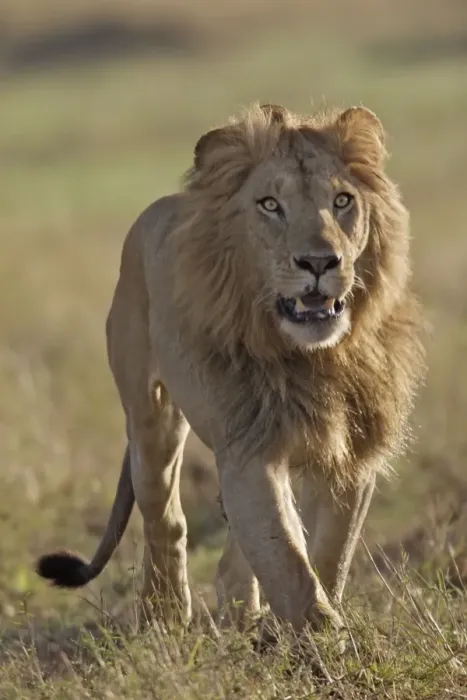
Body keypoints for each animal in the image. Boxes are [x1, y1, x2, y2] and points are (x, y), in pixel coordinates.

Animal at [36, 103, 425, 638]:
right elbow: (287, 559)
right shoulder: (247, 447)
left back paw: (244, 620)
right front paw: (322, 641)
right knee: (164, 516)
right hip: (151, 415)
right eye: (270, 205)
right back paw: (164, 615)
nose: (320, 262)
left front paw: (305, 631)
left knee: (230, 556)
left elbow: (328, 553)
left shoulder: (352, 449)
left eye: (343, 200)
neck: (311, 356)